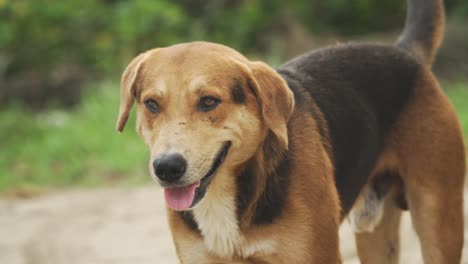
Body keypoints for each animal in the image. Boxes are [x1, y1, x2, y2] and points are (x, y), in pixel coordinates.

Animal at [116, 0, 464, 262]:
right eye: (151, 104)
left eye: (209, 102)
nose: (166, 168)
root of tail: (406, 54)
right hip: (375, 235)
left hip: (439, 222)